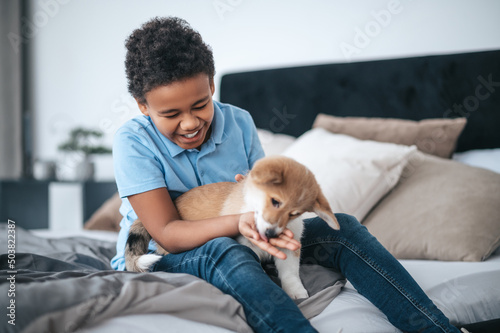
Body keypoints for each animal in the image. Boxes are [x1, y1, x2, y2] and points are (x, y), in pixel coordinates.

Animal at [125, 156, 340, 298]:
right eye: (275, 201)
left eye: (294, 213)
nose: (270, 234)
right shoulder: (246, 243)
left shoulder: (289, 249)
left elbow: (290, 274)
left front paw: (296, 292)